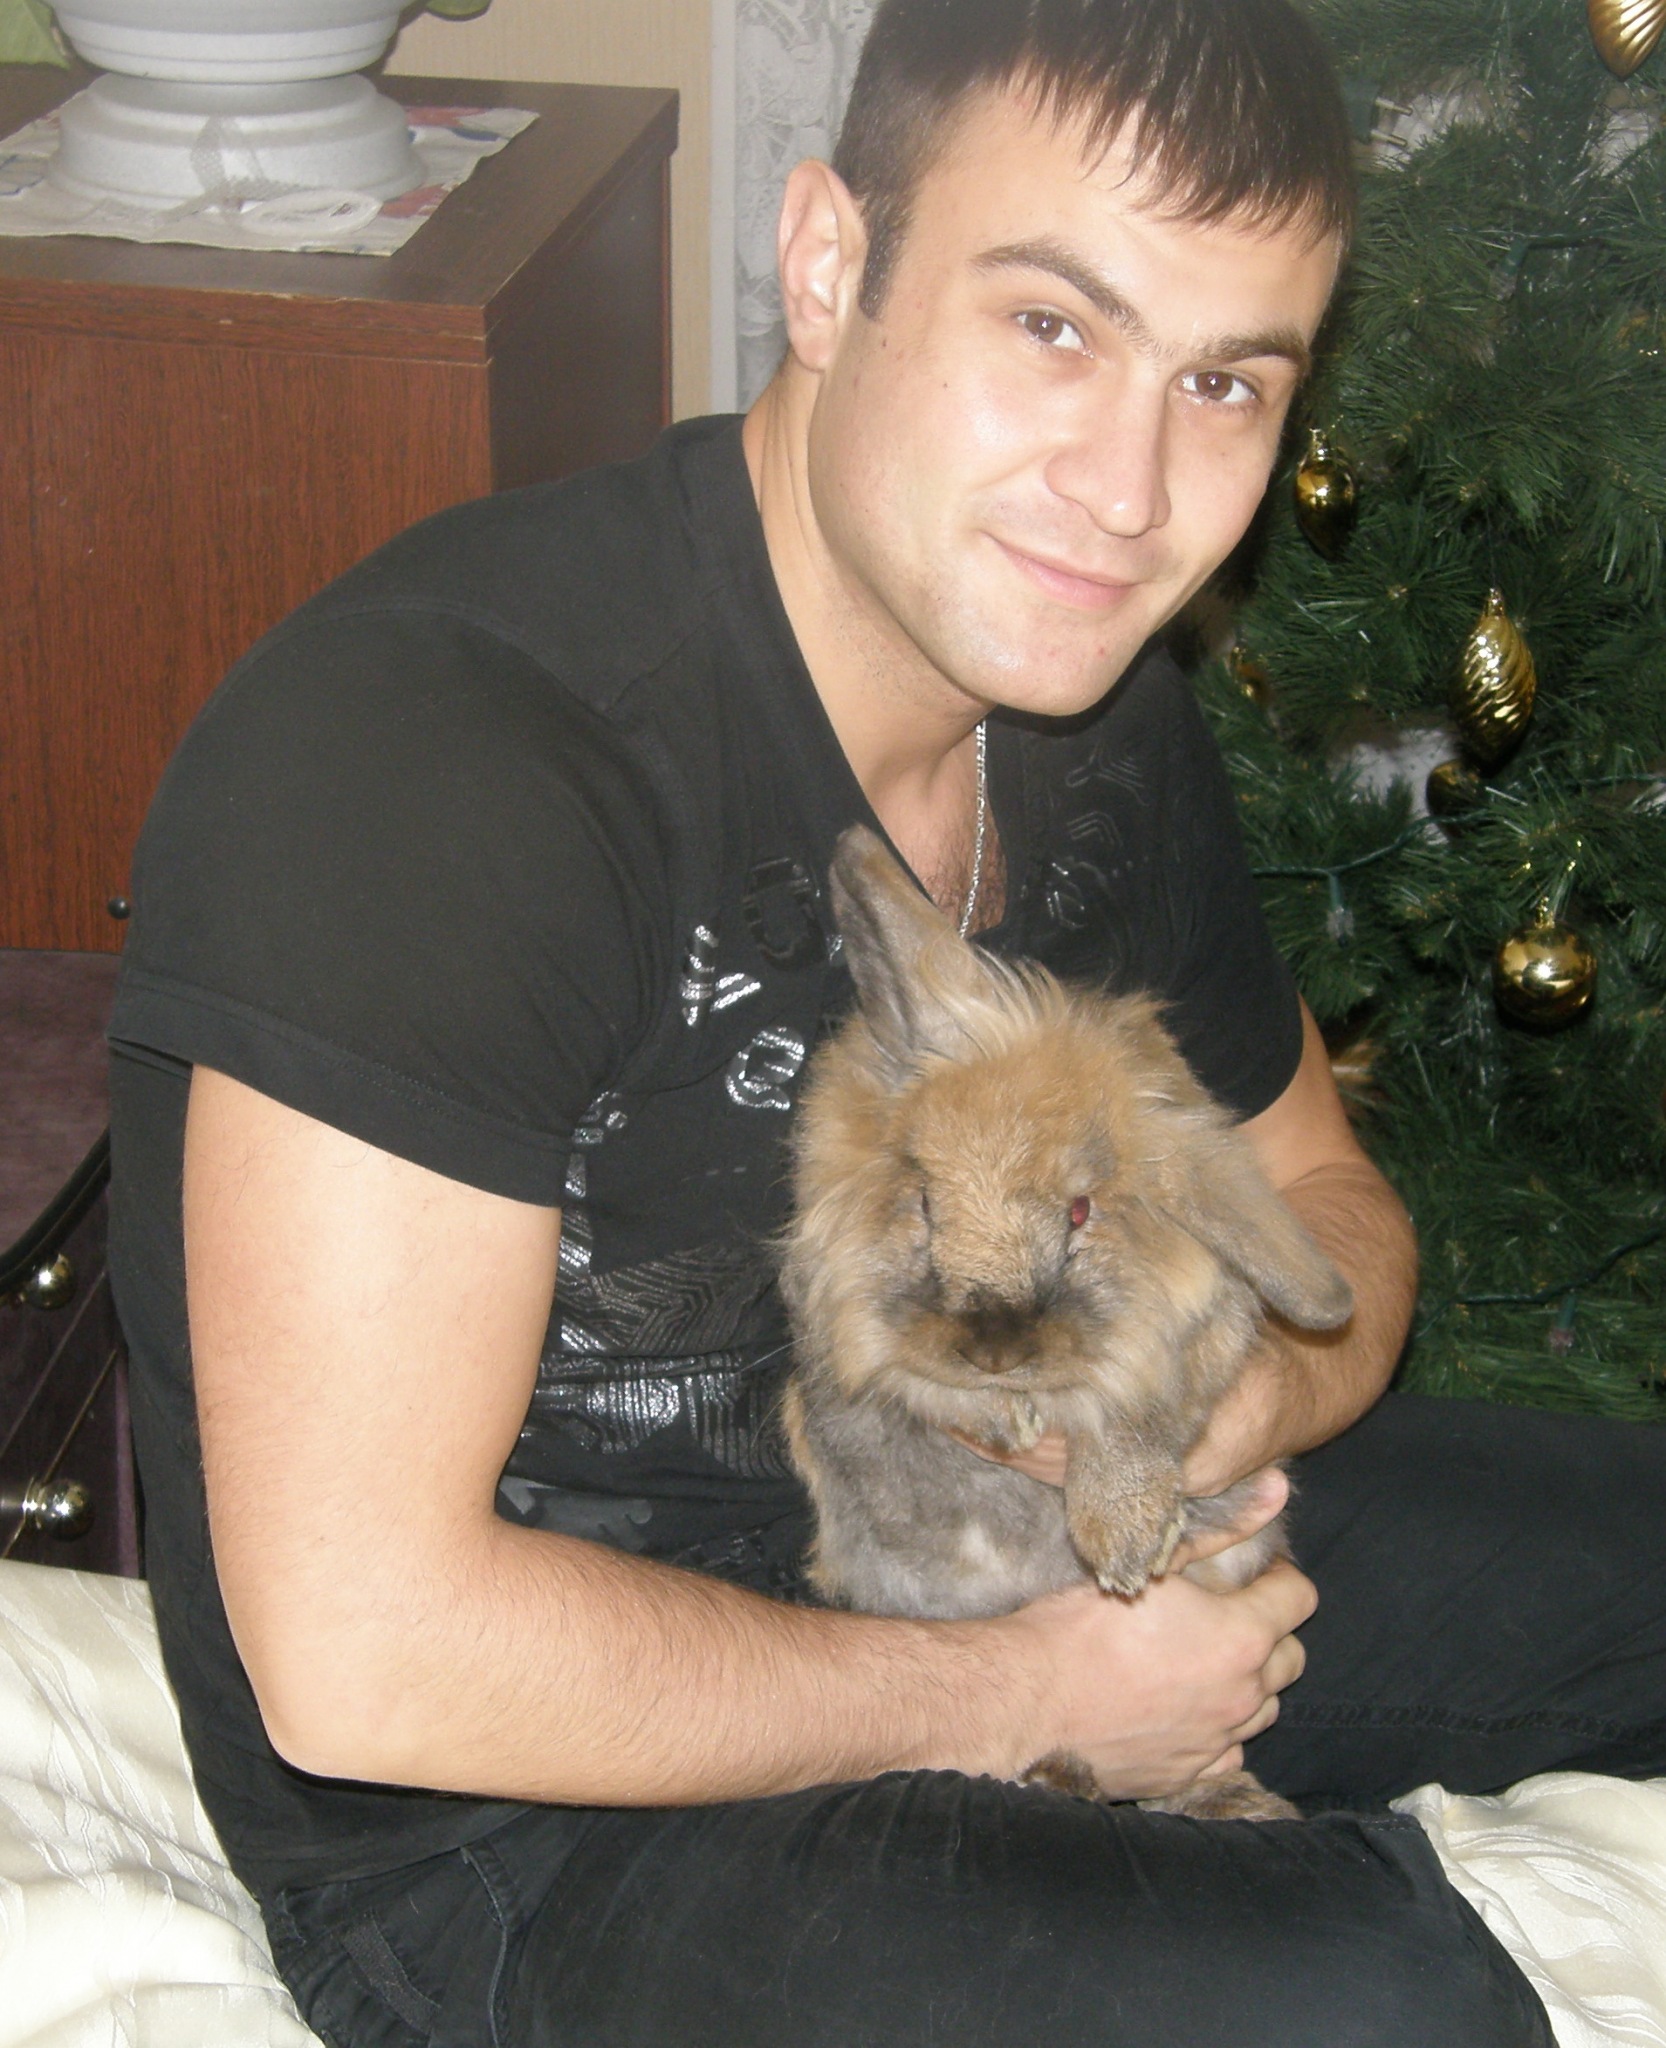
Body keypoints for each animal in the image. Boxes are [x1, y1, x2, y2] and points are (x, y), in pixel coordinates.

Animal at [778, 825, 1354, 1822]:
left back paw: (1223, 1802)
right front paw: (999, 1417)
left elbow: (1141, 1407)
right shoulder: (838, 1325)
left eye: (1081, 1212)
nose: (995, 1351)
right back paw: (1065, 1777)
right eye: (924, 1202)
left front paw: (1122, 1541)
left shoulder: (1193, 1340)